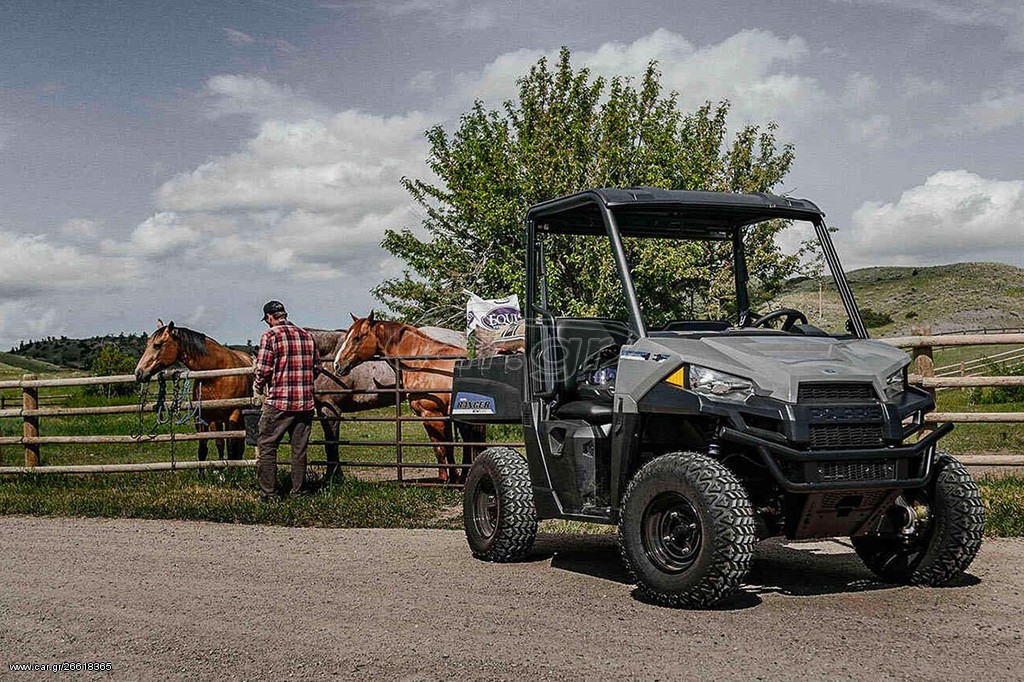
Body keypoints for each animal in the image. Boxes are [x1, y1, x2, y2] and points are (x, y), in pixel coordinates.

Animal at [134, 319, 253, 458]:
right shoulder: (202, 418)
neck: (217, 374)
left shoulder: (234, 415)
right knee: (221, 444)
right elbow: (203, 450)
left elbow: (232, 450)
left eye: (157, 345)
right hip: (217, 421)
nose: (139, 373)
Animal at [333, 313, 481, 483]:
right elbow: (446, 447)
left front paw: (446, 480)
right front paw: (452, 478)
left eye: (357, 338)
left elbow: (441, 448)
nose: (337, 365)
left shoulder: (432, 414)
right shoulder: (443, 416)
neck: (421, 361)